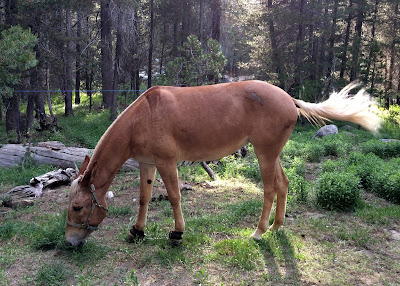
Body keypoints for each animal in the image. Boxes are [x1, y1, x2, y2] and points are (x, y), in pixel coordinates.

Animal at [65, 80, 378, 246]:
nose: (69, 242)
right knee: (284, 184)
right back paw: (276, 227)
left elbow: (175, 197)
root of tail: (290, 99)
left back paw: (259, 231)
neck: (143, 117)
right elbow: (144, 198)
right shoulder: (147, 164)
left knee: (269, 189)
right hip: (273, 154)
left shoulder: (167, 162)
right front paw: (138, 230)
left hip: (265, 154)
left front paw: (177, 233)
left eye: (78, 207)